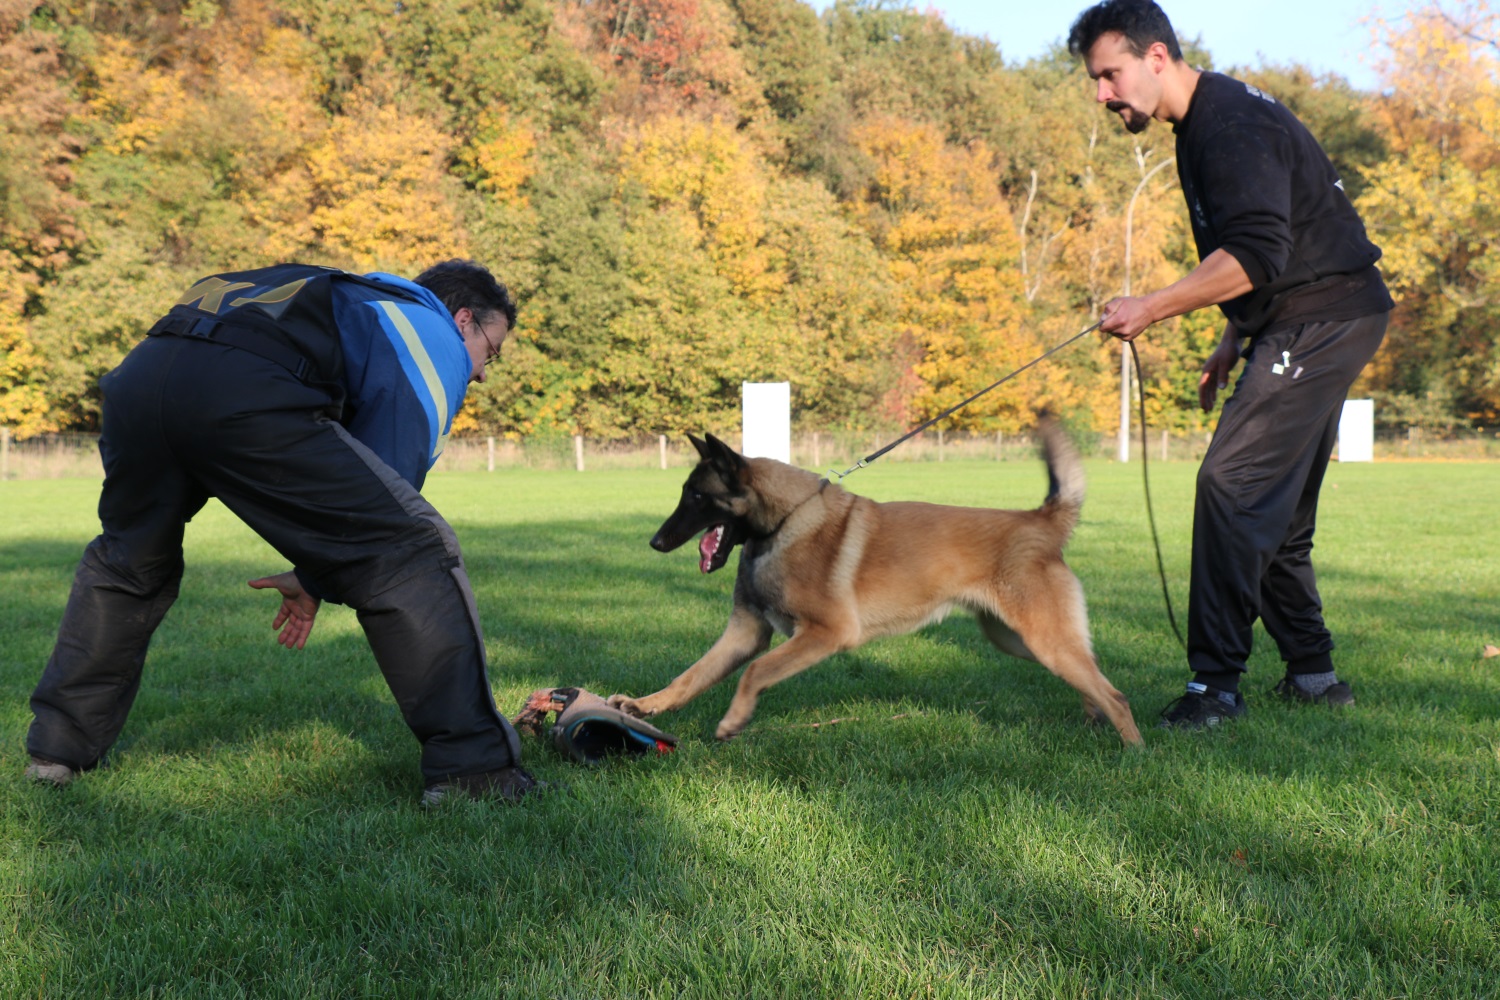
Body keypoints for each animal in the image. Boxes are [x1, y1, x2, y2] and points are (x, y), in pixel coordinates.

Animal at [609, 419, 1134, 743]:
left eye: (696, 496)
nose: (655, 542)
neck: (784, 522)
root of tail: (1040, 521)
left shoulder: (825, 633)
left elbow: (755, 672)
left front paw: (734, 721)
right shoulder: (745, 631)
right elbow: (690, 676)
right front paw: (642, 705)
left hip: (1042, 640)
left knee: (1116, 694)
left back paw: (1134, 754)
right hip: (1020, 641)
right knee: (1092, 680)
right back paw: (1095, 723)